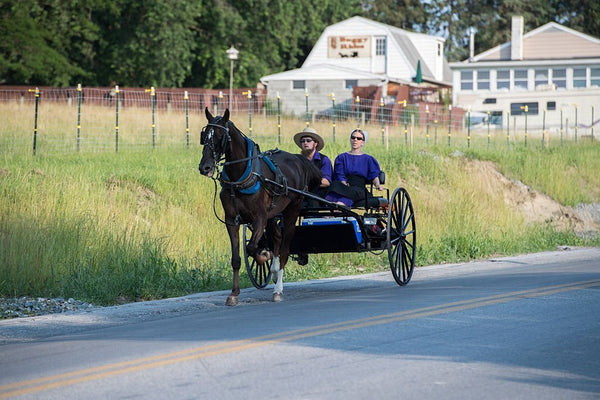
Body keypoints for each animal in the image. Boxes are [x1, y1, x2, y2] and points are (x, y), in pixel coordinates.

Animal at [199, 108, 322, 304]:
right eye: (204, 136)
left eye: (220, 136)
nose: (205, 167)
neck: (240, 177)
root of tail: (298, 159)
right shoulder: (231, 220)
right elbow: (236, 258)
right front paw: (234, 294)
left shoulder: (259, 218)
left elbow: (251, 248)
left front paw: (264, 256)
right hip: (273, 215)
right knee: (277, 237)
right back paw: (274, 271)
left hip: (291, 212)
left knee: (284, 247)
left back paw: (278, 289)